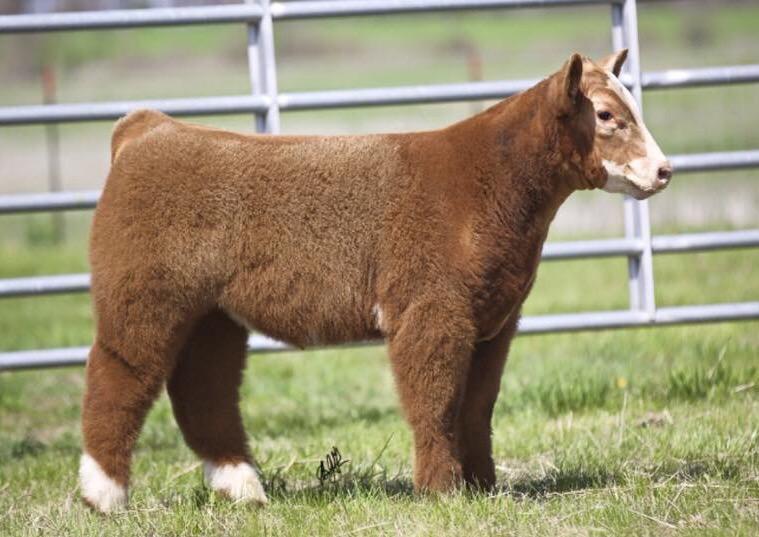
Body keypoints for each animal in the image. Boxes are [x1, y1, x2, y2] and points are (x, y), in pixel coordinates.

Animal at [79, 50, 671, 512]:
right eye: (606, 114)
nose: (665, 170)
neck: (489, 183)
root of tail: (150, 128)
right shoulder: (431, 311)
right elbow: (436, 402)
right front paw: (441, 492)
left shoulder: (497, 321)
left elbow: (478, 406)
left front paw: (484, 487)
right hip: (143, 295)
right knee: (119, 376)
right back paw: (104, 496)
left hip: (213, 314)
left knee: (204, 389)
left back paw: (243, 489)